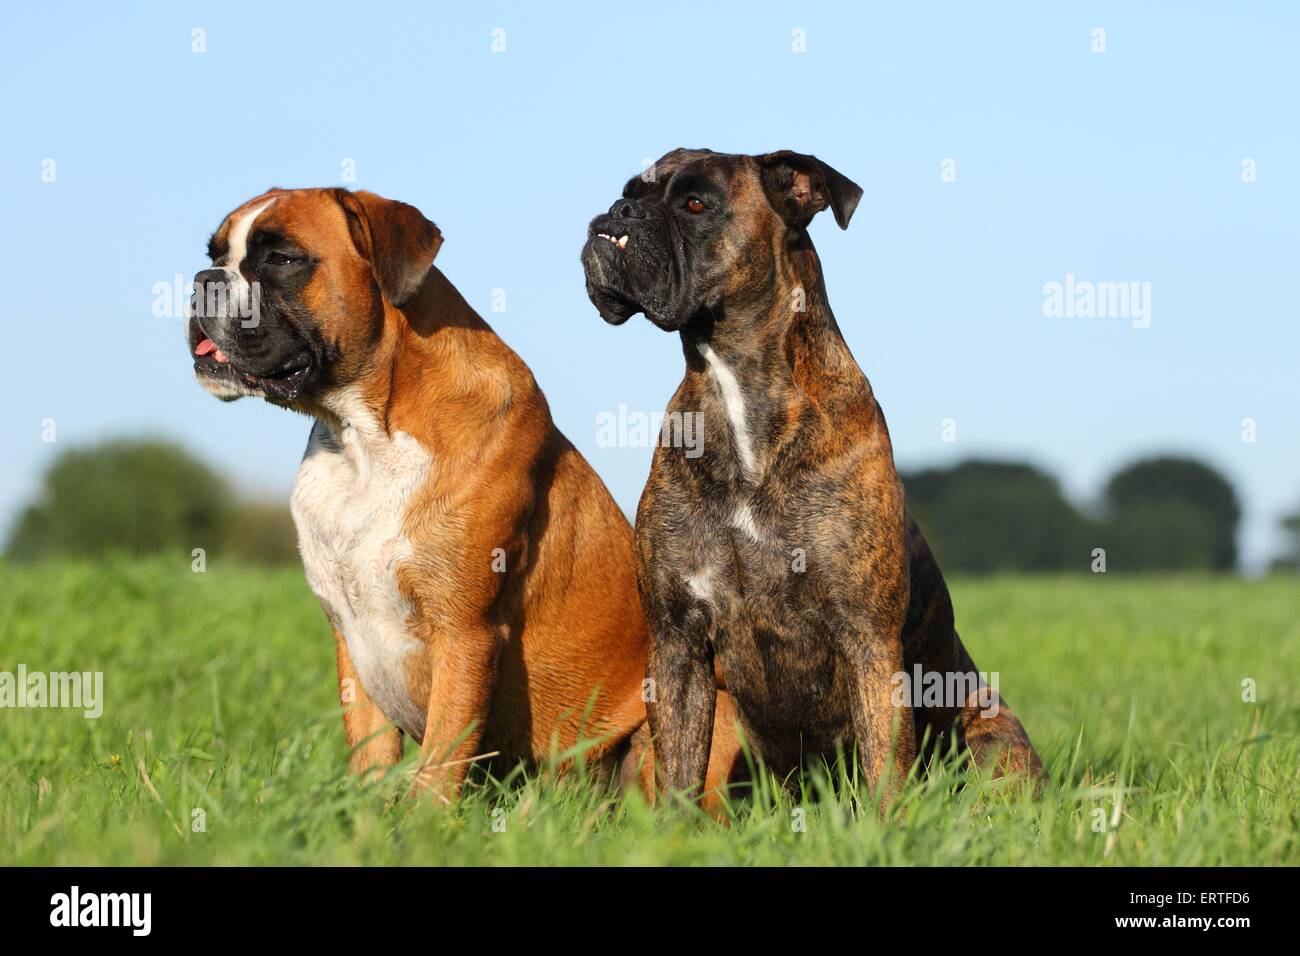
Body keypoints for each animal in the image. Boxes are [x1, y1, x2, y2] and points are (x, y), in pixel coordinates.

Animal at [189, 187, 743, 801]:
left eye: (281, 259)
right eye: (215, 254)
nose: (201, 280)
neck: (363, 439)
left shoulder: (464, 635)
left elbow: (438, 761)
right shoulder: (352, 641)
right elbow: (372, 756)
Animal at [585, 149, 1040, 806]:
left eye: (695, 203)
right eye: (628, 191)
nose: (618, 212)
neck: (734, 389)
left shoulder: (868, 641)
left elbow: (884, 769)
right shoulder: (677, 645)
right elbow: (677, 773)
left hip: (992, 739)